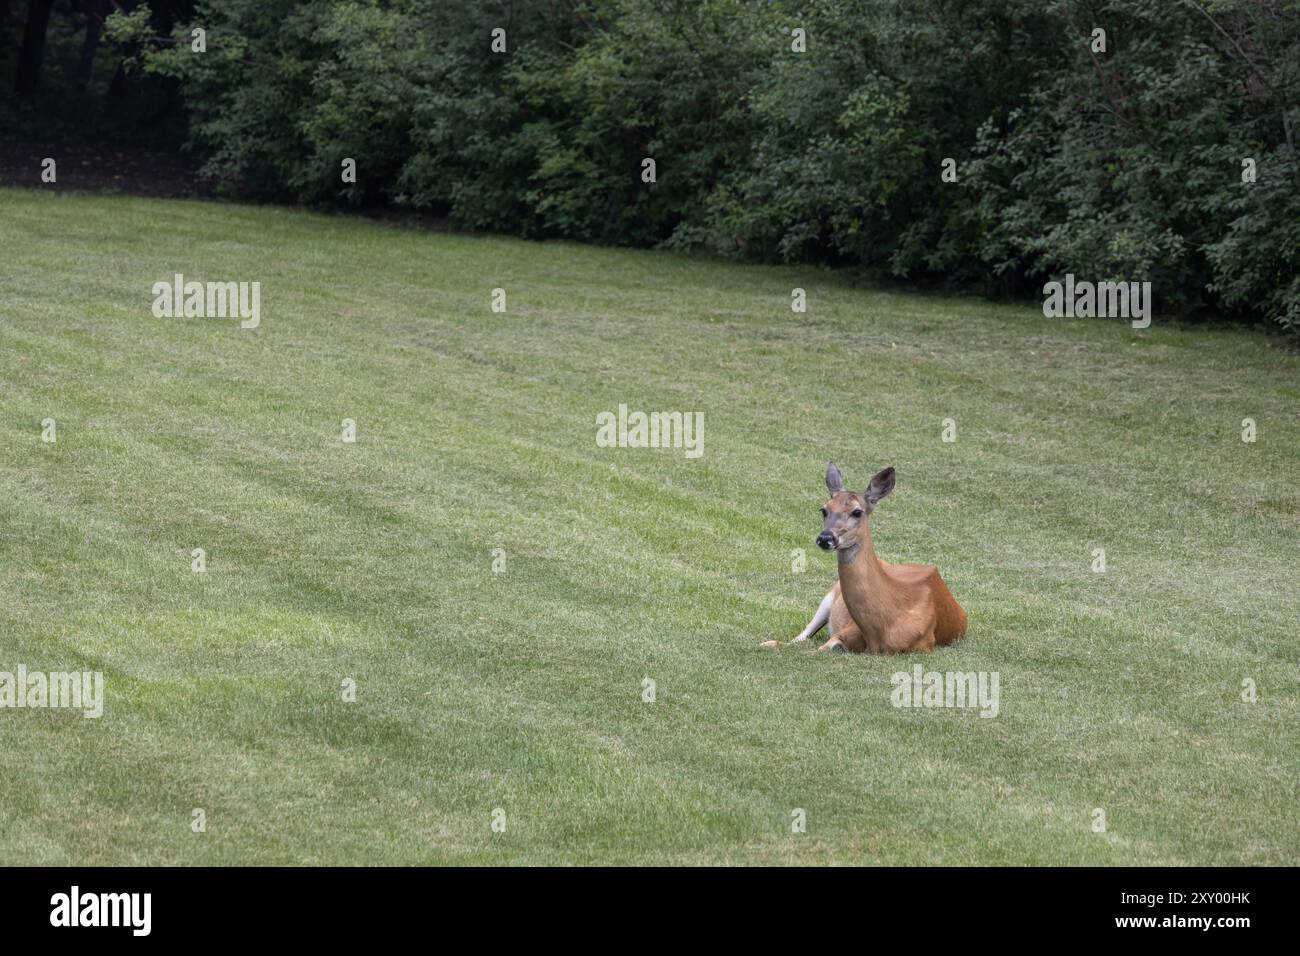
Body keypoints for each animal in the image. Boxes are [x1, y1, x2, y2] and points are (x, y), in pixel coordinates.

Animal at [762, 463, 967, 654]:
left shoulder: (924, 644)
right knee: (800, 637)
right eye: (824, 509)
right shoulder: (847, 629)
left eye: (857, 512)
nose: (826, 538)